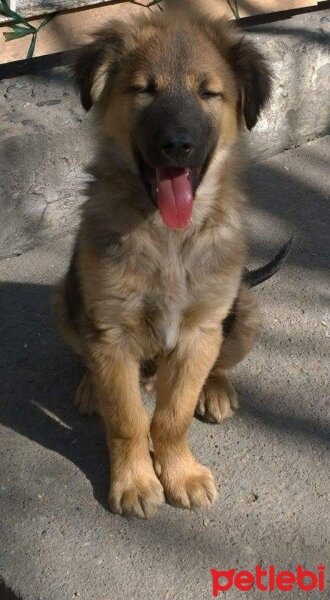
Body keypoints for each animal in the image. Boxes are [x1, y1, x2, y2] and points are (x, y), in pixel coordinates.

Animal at [52, 0, 290, 516]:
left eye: (209, 93)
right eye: (144, 90)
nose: (177, 145)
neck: (168, 237)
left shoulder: (200, 330)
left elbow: (171, 416)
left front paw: (179, 472)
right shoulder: (112, 332)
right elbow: (127, 420)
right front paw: (136, 481)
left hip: (245, 313)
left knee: (218, 364)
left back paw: (216, 391)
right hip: (64, 300)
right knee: (91, 360)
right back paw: (90, 387)